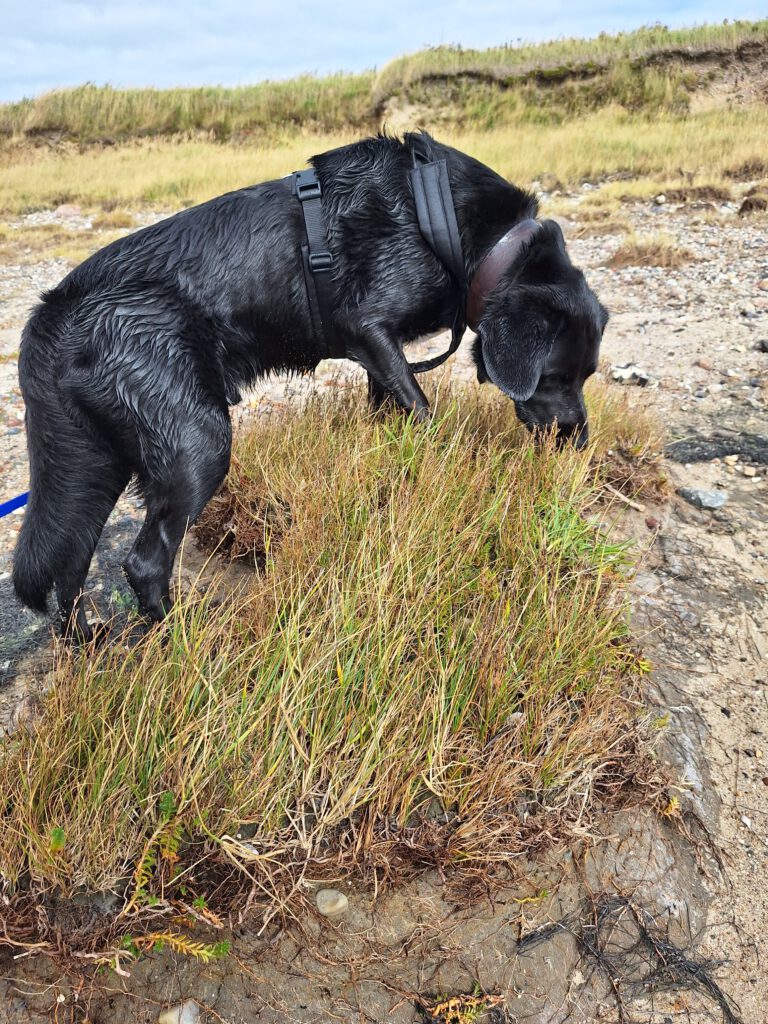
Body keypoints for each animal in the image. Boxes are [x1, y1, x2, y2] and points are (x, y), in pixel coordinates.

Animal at [12, 131, 610, 634]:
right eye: (554, 376)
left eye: (588, 375)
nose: (581, 442)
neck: (460, 233)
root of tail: (49, 317)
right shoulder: (368, 328)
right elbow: (423, 411)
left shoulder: (378, 356)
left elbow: (390, 413)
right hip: (196, 441)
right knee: (141, 564)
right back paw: (186, 637)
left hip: (93, 466)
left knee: (68, 565)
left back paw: (89, 644)